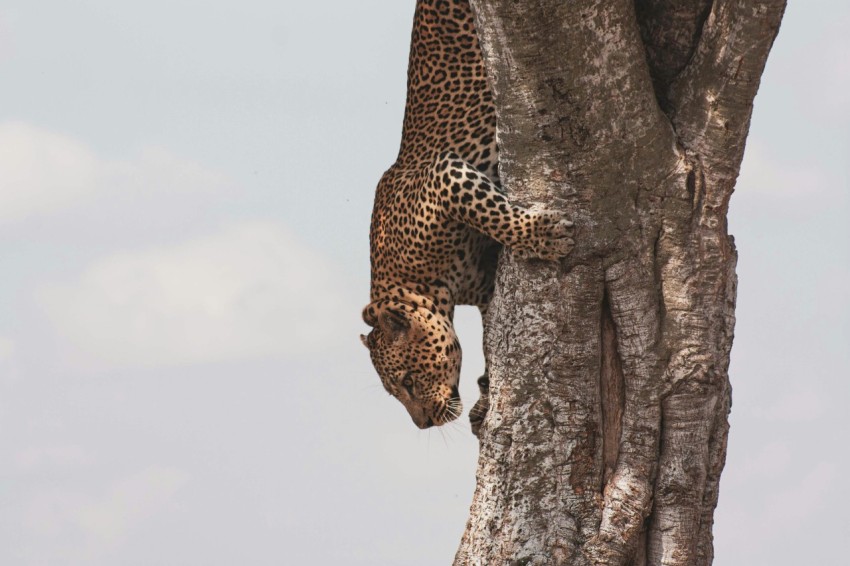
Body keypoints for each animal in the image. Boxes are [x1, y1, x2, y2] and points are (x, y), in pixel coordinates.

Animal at [362, 0, 572, 438]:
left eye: (408, 381)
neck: (427, 286)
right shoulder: (487, 284)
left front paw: (544, 235)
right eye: (394, 393)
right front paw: (486, 398)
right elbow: (492, 340)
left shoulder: (445, 175)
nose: (423, 425)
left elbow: (491, 211)